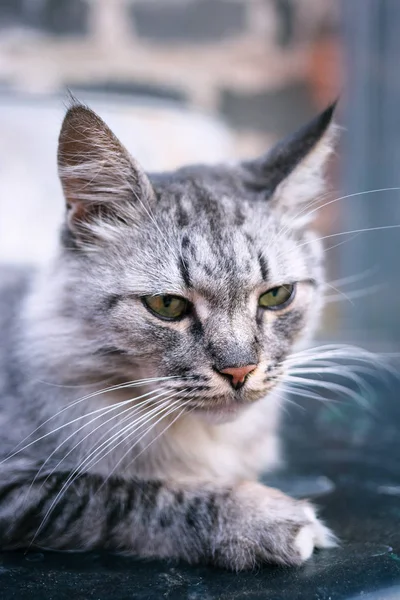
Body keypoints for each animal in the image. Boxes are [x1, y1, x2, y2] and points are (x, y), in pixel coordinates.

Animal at [0, 101, 338, 568]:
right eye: (167, 306)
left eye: (276, 296)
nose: (240, 371)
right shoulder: (25, 489)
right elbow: (137, 497)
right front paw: (265, 518)